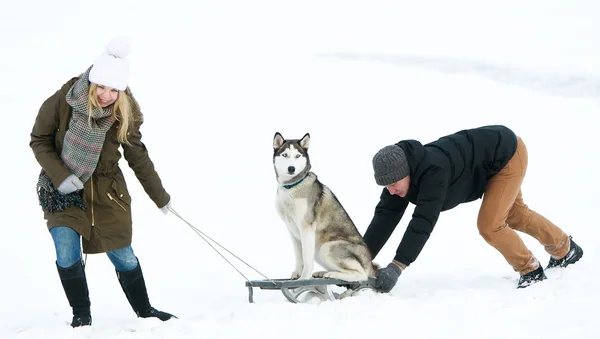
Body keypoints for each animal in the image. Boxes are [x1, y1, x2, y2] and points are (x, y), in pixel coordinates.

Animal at [274, 134, 378, 282]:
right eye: (285, 155)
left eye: (298, 156)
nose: (291, 168)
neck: (292, 186)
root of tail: (370, 264)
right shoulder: (292, 230)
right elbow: (299, 256)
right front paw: (297, 273)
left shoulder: (306, 228)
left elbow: (307, 258)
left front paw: (304, 278)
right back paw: (323, 273)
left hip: (327, 247)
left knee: (361, 274)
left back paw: (333, 274)